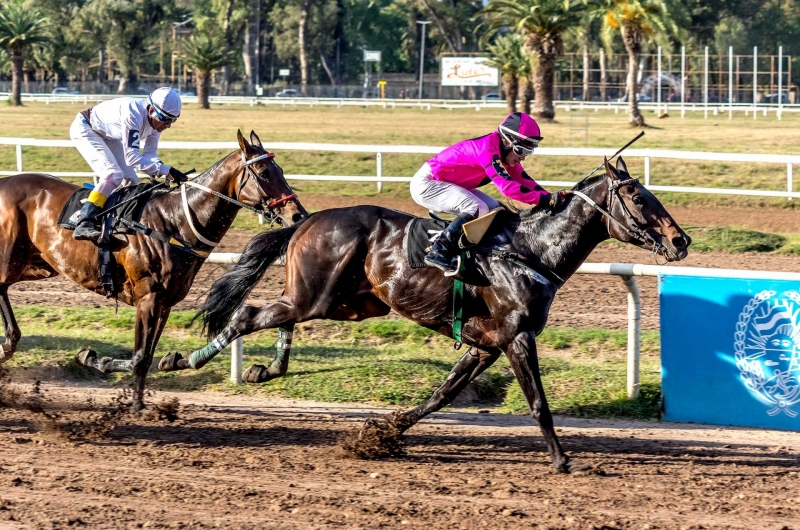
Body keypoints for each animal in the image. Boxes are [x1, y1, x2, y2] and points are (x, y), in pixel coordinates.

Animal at [0, 130, 306, 410]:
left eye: (279, 170)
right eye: (264, 173)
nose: (298, 215)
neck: (175, 223)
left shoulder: (165, 302)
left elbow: (146, 356)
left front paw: (120, 381)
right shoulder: (148, 298)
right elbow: (138, 357)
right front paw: (129, 398)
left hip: (38, 265)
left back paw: (8, 345)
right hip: (11, 259)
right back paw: (8, 344)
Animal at [162, 156, 688, 470]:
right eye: (638, 197)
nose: (680, 240)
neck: (531, 251)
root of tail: (306, 219)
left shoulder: (485, 345)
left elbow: (441, 395)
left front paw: (383, 432)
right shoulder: (516, 338)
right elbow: (538, 402)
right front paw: (561, 460)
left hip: (346, 302)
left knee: (275, 314)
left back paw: (262, 368)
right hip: (321, 295)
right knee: (248, 314)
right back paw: (181, 361)